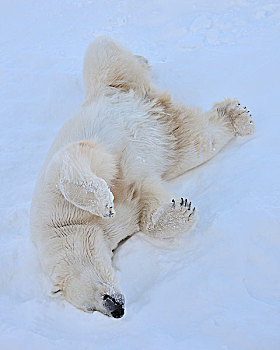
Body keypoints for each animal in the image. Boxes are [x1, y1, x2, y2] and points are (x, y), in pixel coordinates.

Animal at [29, 37, 255, 318]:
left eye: (98, 298)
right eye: (90, 309)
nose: (117, 310)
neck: (66, 224)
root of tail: (154, 103)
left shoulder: (54, 193)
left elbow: (73, 164)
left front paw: (104, 203)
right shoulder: (121, 221)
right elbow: (145, 206)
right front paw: (181, 209)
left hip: (113, 82)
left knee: (102, 51)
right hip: (174, 141)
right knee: (199, 140)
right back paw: (233, 115)